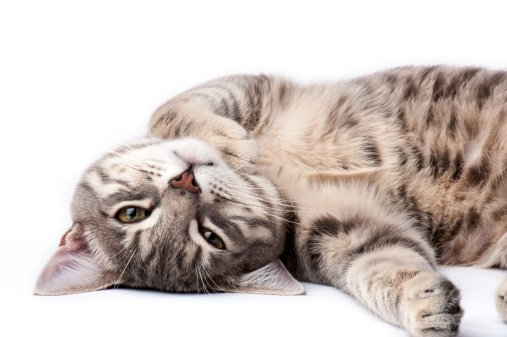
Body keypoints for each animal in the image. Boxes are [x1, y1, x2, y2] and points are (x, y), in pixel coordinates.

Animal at [34, 65, 507, 336]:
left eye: (131, 213)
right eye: (211, 236)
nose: (187, 183)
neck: (270, 177)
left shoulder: (244, 88)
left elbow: (172, 110)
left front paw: (228, 140)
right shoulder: (346, 229)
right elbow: (381, 264)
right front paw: (420, 303)